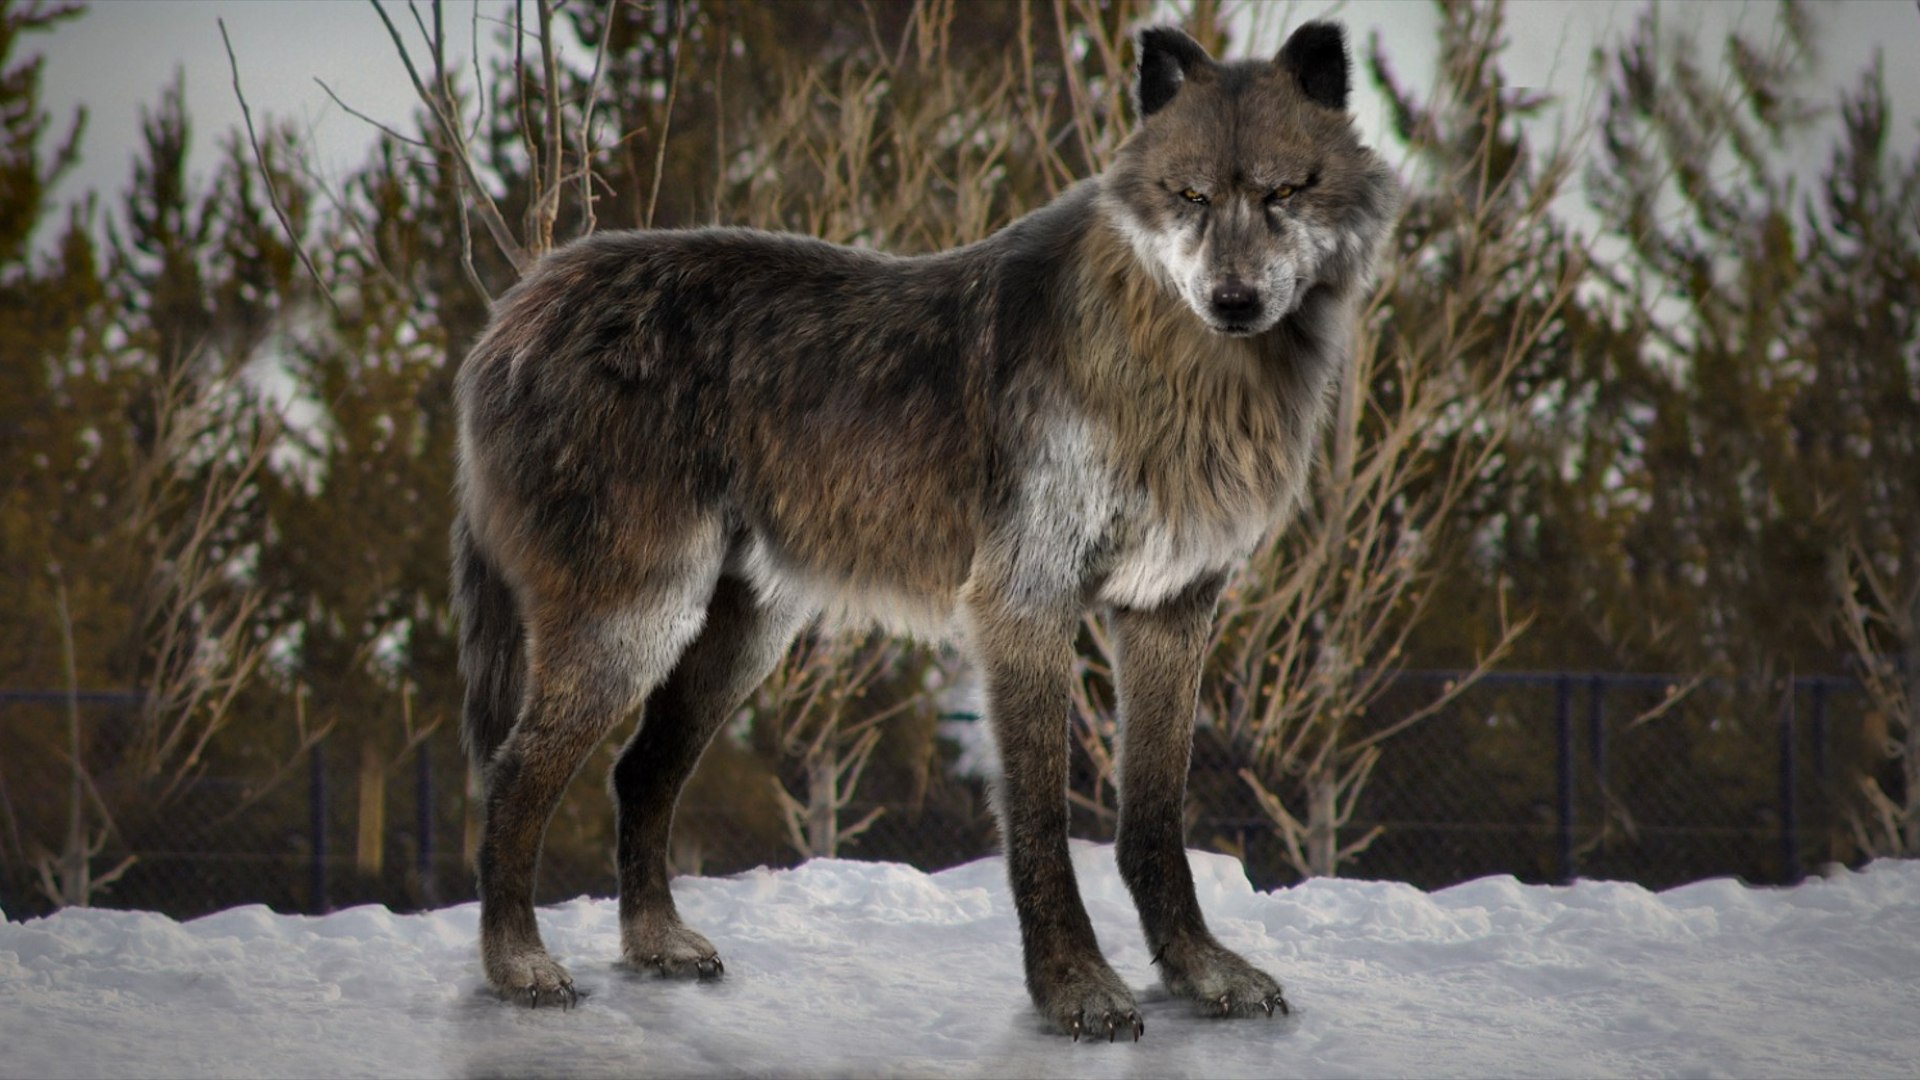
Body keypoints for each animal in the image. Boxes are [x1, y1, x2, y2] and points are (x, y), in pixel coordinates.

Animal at [451, 21, 1398, 1039]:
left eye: (1283, 192)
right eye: (1190, 196)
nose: (1231, 301)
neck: (1178, 369)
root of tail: (514, 306)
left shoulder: (1171, 608)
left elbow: (1153, 817)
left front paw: (1199, 973)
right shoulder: (1022, 602)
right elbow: (1040, 820)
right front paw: (1073, 986)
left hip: (738, 636)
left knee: (639, 772)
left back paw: (655, 944)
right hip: (635, 624)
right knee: (511, 776)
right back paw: (517, 967)